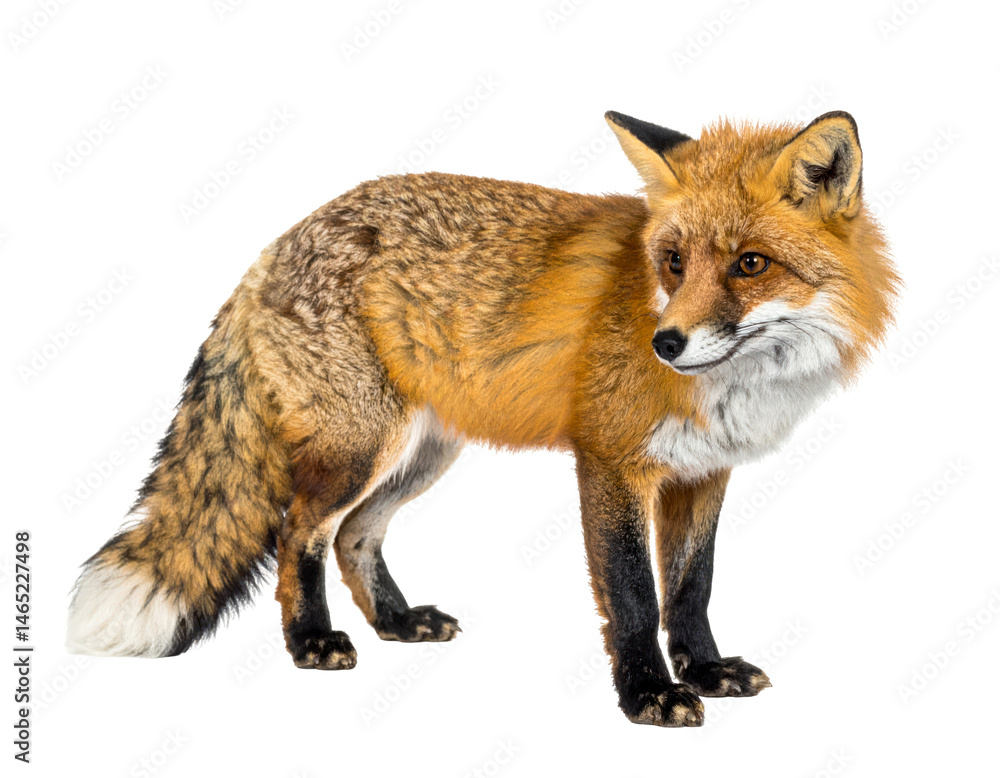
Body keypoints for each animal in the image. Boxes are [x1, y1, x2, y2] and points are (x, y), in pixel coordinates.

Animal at [67, 109, 898, 727]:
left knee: (354, 535)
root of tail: (275, 245)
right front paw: (649, 694)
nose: (665, 344)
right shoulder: (611, 463)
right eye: (673, 262)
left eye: (749, 264)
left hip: (422, 456)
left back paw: (398, 622)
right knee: (296, 531)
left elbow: (692, 588)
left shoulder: (704, 474)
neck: (735, 386)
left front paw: (707, 668)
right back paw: (312, 640)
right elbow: (634, 594)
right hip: (360, 448)